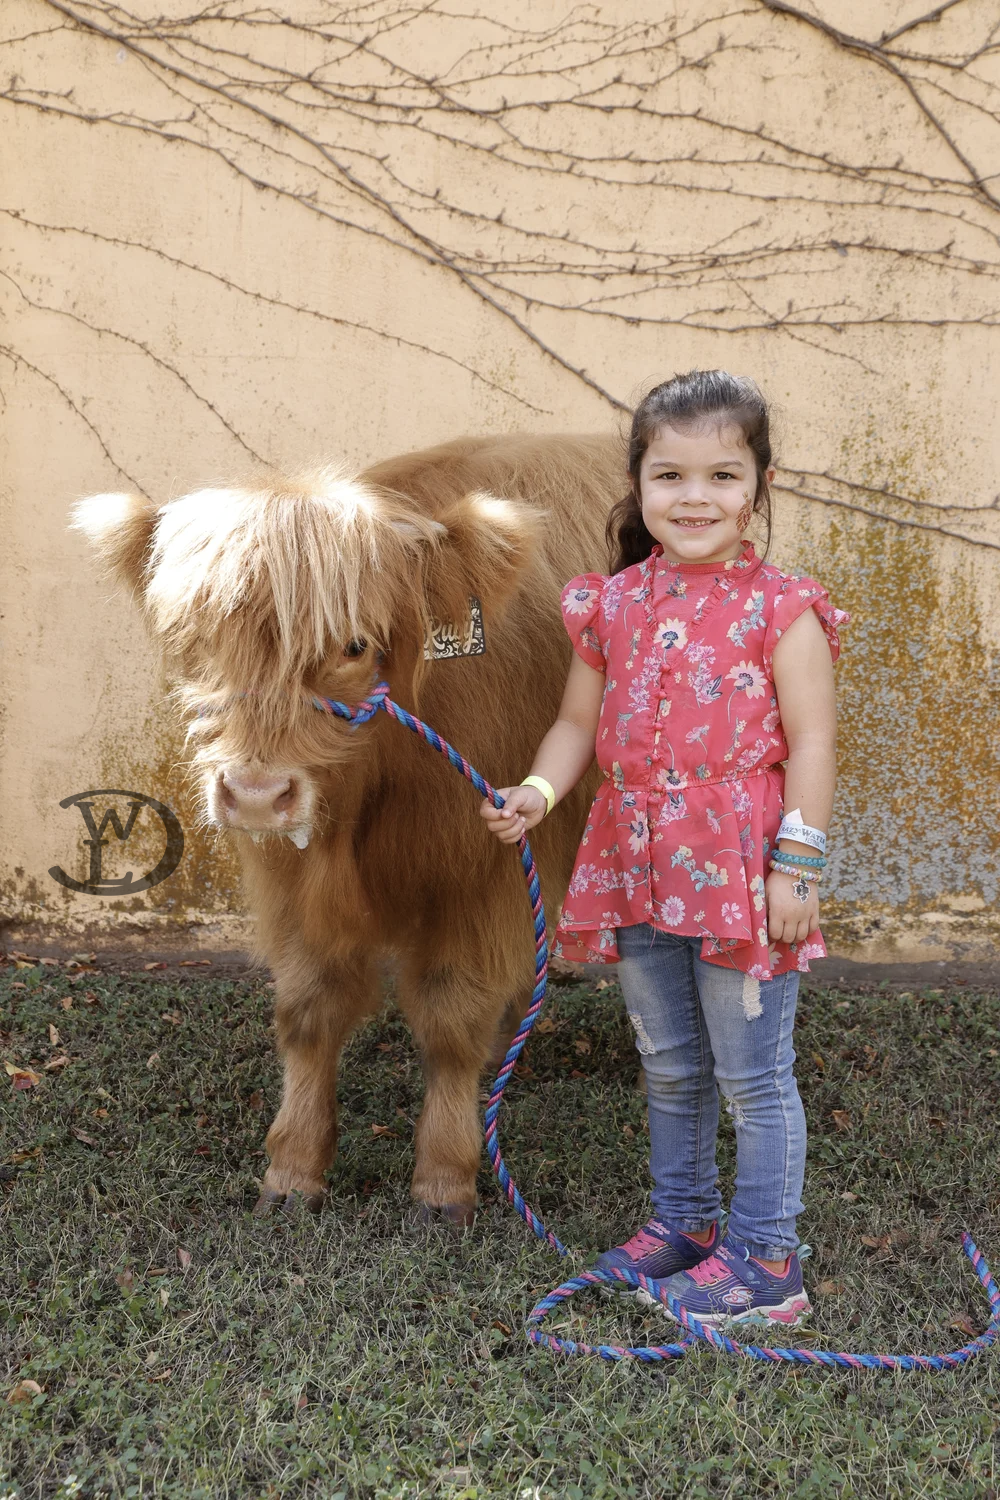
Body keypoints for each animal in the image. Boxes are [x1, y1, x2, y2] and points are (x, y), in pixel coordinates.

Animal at [75, 434, 621, 1223]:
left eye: (355, 646)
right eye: (198, 640)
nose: (256, 794)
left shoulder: (481, 872)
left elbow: (451, 1017)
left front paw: (444, 1179)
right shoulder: (292, 881)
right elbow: (309, 1009)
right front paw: (294, 1166)